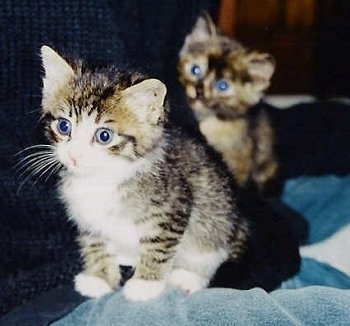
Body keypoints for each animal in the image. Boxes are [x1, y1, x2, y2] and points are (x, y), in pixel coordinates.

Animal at [34, 45, 250, 300]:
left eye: (104, 136)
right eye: (63, 126)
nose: (74, 155)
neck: (102, 177)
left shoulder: (174, 204)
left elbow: (159, 244)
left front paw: (145, 284)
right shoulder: (85, 213)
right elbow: (94, 239)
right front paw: (99, 277)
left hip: (218, 215)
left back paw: (188, 276)